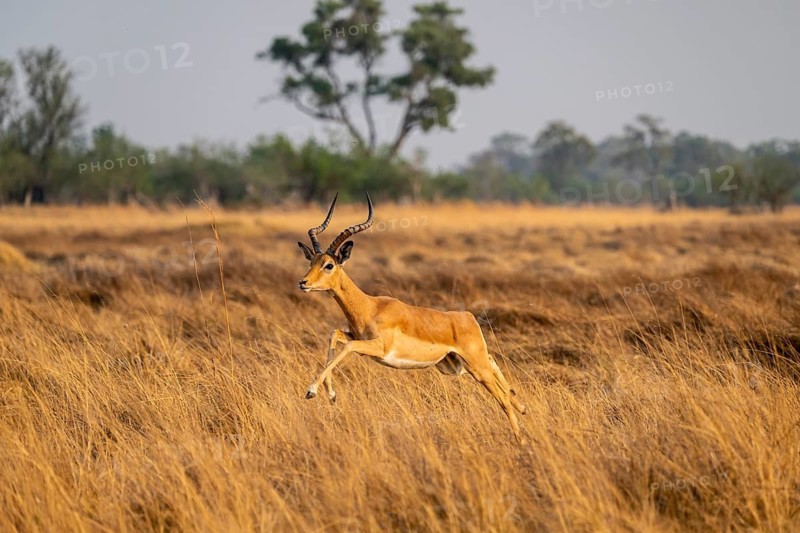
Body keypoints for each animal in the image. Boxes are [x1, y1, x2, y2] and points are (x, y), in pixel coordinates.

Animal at [297, 192, 527, 443]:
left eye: (329, 265)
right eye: (311, 262)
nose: (303, 283)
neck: (370, 307)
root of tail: (468, 317)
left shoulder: (379, 347)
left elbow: (347, 346)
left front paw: (311, 390)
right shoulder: (356, 336)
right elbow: (335, 335)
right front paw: (331, 395)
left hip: (475, 367)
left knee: (502, 399)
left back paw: (521, 438)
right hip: (456, 366)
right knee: (495, 366)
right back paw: (523, 406)